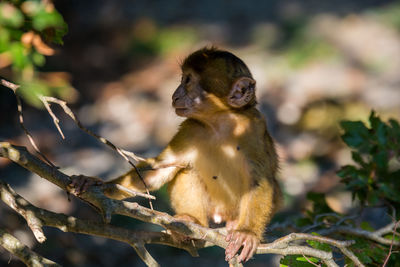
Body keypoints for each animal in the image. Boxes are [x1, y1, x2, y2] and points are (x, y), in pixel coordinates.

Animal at [72, 47, 284, 264]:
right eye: (182, 78)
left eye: (188, 80)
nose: (174, 95)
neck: (221, 124)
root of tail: (221, 216)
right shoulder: (190, 129)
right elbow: (160, 168)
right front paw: (95, 184)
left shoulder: (254, 130)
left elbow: (260, 181)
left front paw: (247, 233)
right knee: (186, 171)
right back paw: (191, 223)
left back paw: (232, 225)